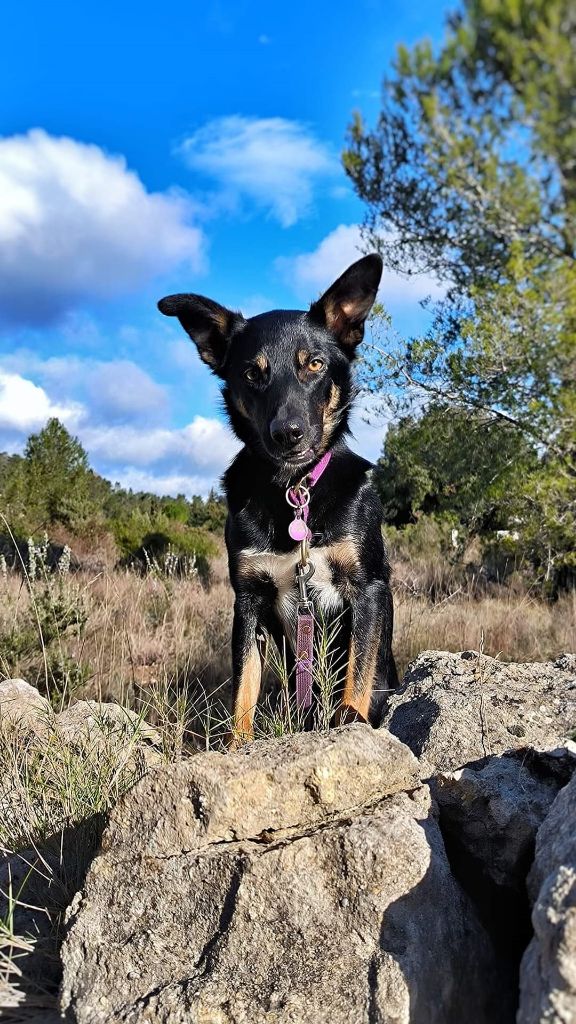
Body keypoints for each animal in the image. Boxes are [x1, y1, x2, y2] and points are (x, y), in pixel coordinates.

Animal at [157, 251, 399, 741]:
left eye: (315, 365)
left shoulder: (368, 589)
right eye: (252, 372)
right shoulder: (248, 600)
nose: (287, 433)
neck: (295, 488)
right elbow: (243, 693)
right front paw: (237, 747)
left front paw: (351, 719)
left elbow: (359, 677)